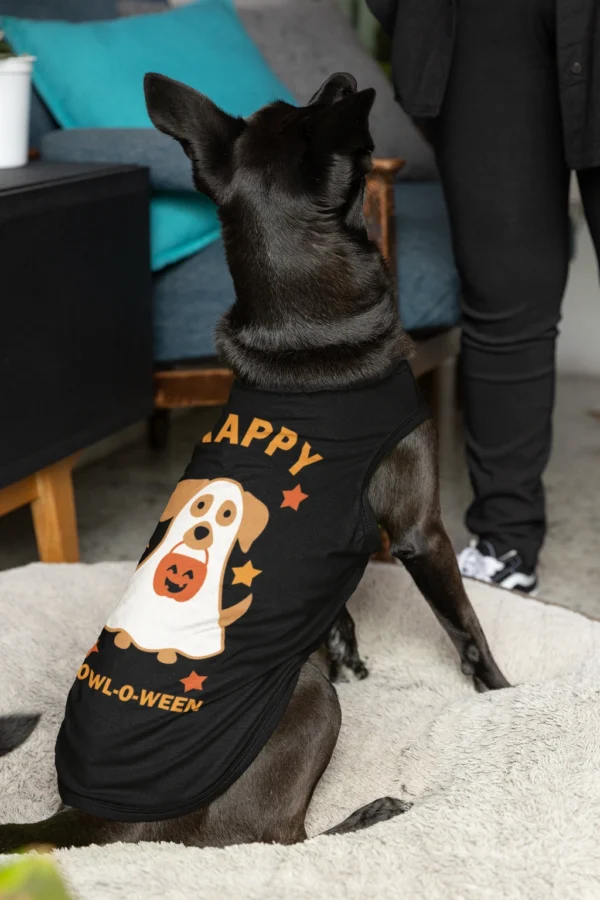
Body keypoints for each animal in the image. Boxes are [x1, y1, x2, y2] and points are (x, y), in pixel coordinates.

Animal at [0, 74, 506, 856]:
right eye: (315, 109)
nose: (339, 79)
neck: (303, 334)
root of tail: (86, 817)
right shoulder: (421, 532)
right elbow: (466, 624)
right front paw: (506, 694)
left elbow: (336, 609)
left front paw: (349, 651)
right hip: (306, 701)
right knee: (270, 840)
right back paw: (372, 816)